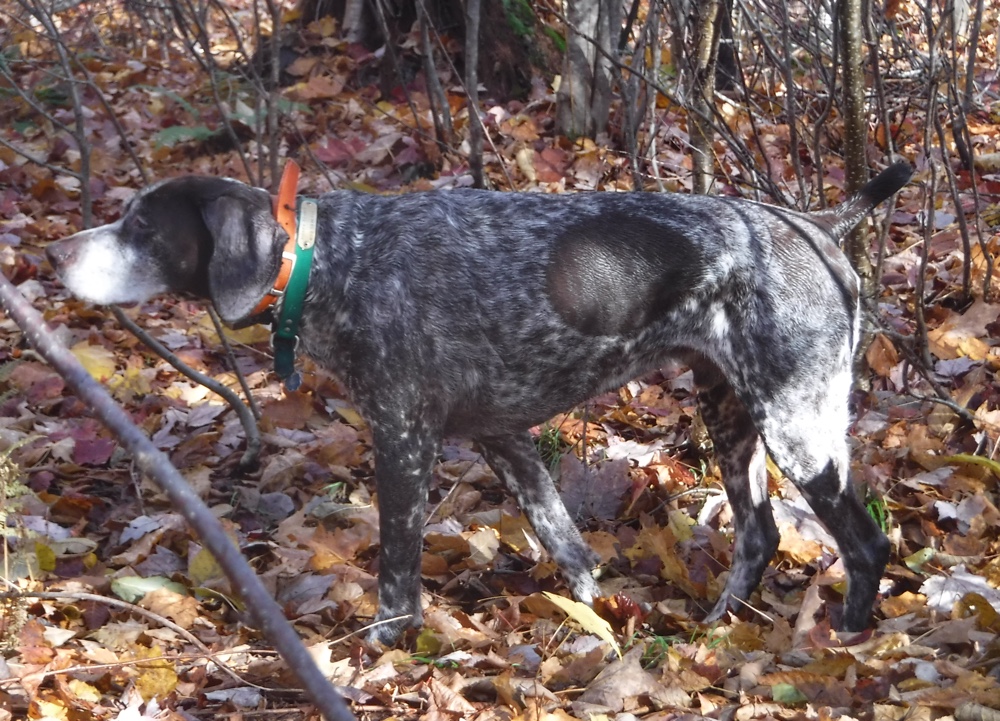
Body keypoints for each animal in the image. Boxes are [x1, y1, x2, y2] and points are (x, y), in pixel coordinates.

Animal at [47, 162, 912, 640]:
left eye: (139, 226)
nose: (55, 252)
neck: (329, 262)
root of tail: (816, 225)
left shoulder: (402, 438)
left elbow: (398, 568)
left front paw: (384, 645)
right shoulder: (505, 436)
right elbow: (568, 543)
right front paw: (595, 615)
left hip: (798, 426)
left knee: (866, 544)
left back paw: (843, 638)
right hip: (731, 414)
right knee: (759, 534)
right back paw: (718, 623)